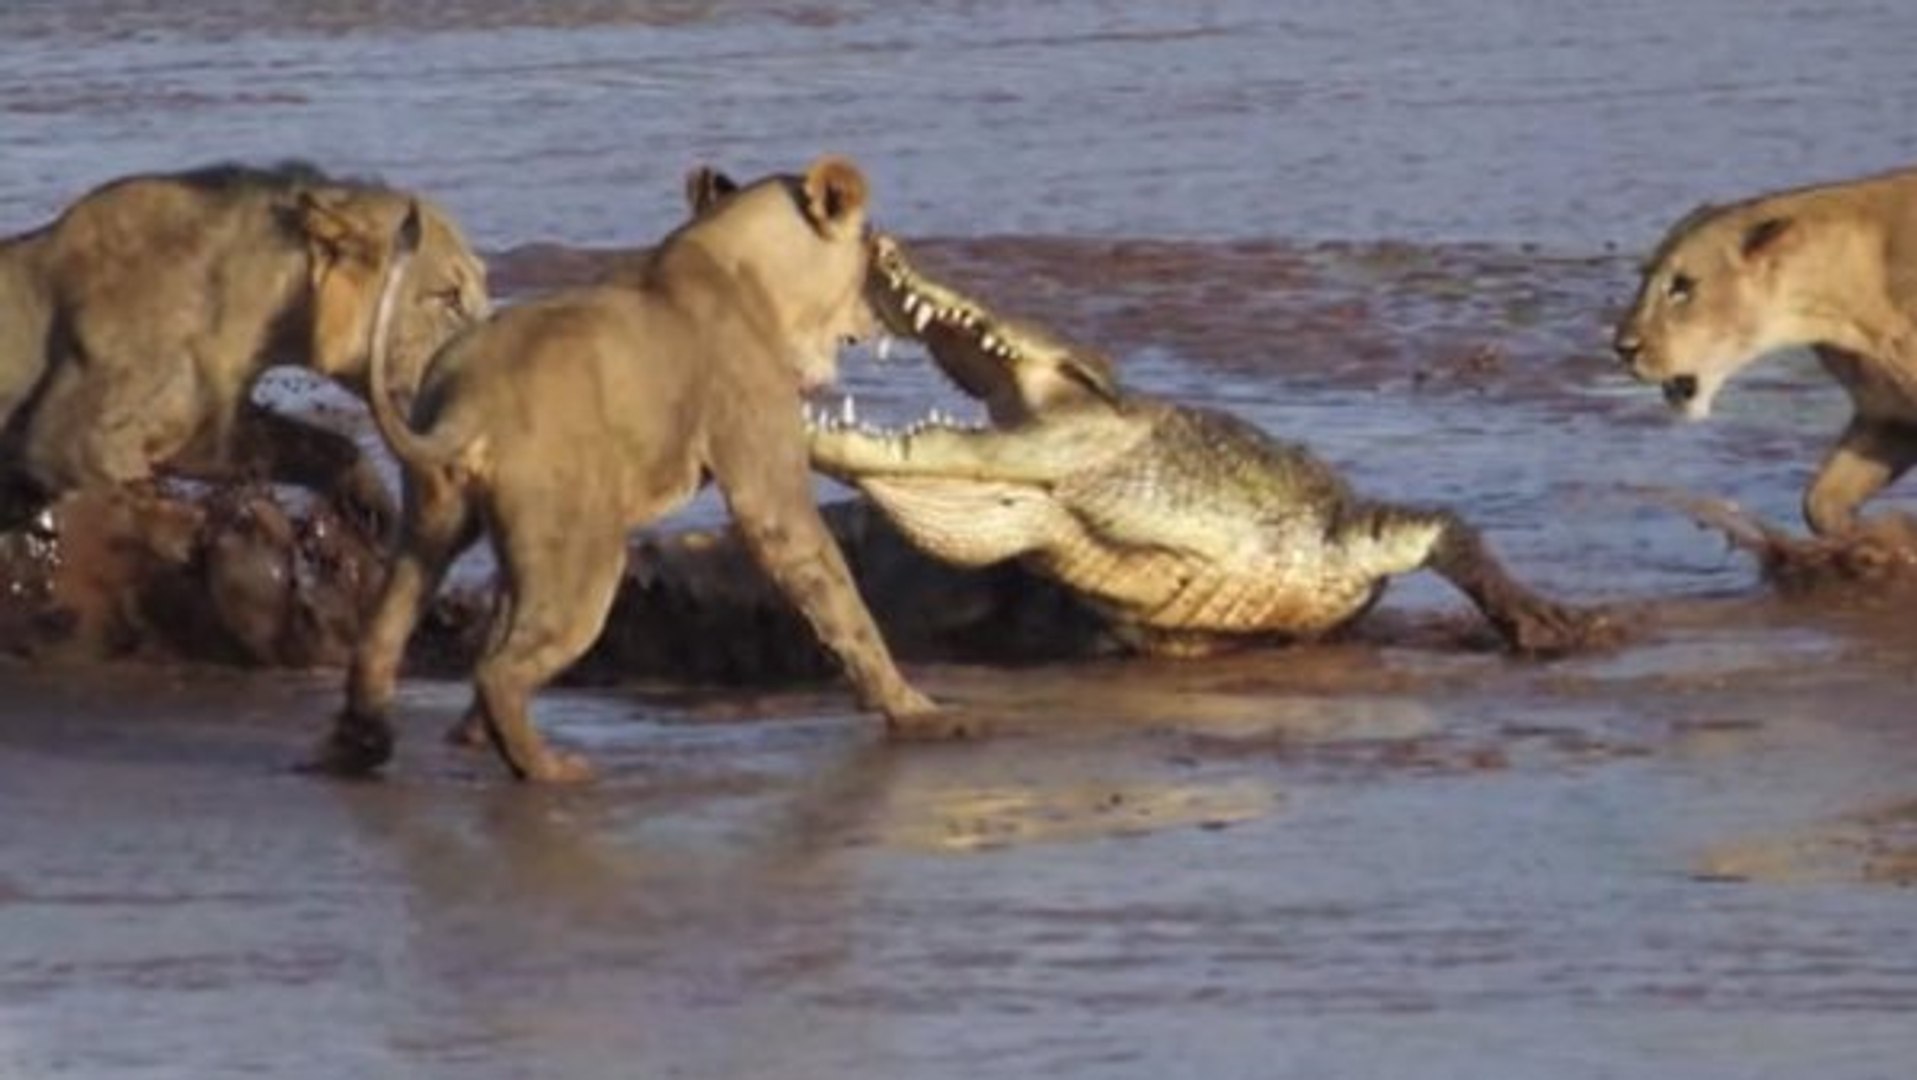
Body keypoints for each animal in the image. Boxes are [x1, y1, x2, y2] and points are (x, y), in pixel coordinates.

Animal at [0, 161, 489, 533]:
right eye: (447, 296)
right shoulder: (67, 442)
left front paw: (375, 522)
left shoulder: (205, 435)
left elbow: (335, 450)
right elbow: (165, 516)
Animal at [309, 156, 938, 783]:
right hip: (583, 552)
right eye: (871, 249)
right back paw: (548, 768)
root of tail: (469, 404)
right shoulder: (768, 490)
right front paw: (915, 710)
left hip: (436, 528)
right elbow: (841, 599)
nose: (879, 316)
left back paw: (365, 746)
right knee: (500, 671)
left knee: (383, 641)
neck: (740, 264)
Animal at [1615, 165, 1917, 538]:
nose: (1622, 348)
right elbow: (1819, 502)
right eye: (1644, 278)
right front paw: (1882, 539)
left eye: (1682, 287)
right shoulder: (1888, 415)